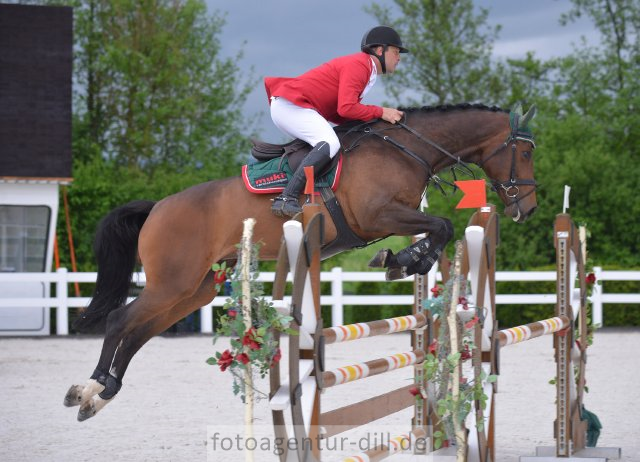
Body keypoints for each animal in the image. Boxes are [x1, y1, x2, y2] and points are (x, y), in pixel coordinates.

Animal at [65, 103, 536, 420]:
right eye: (527, 153)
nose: (527, 210)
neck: (407, 148)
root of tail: (158, 207)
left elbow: (439, 229)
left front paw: (403, 260)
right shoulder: (378, 215)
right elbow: (441, 225)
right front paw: (402, 259)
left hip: (194, 290)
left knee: (139, 332)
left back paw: (101, 394)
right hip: (172, 283)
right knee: (121, 322)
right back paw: (89, 389)